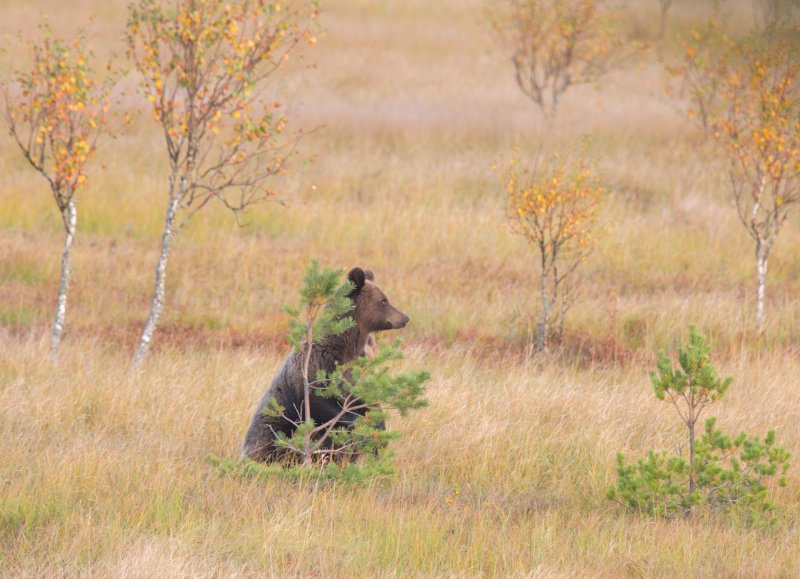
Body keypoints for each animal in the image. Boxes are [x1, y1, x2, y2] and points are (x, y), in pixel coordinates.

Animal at [241, 268, 410, 462]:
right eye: (384, 300)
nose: (405, 318)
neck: (346, 346)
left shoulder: (361, 366)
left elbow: (369, 401)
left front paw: (378, 430)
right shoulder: (318, 367)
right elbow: (321, 402)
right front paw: (362, 428)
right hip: (274, 426)